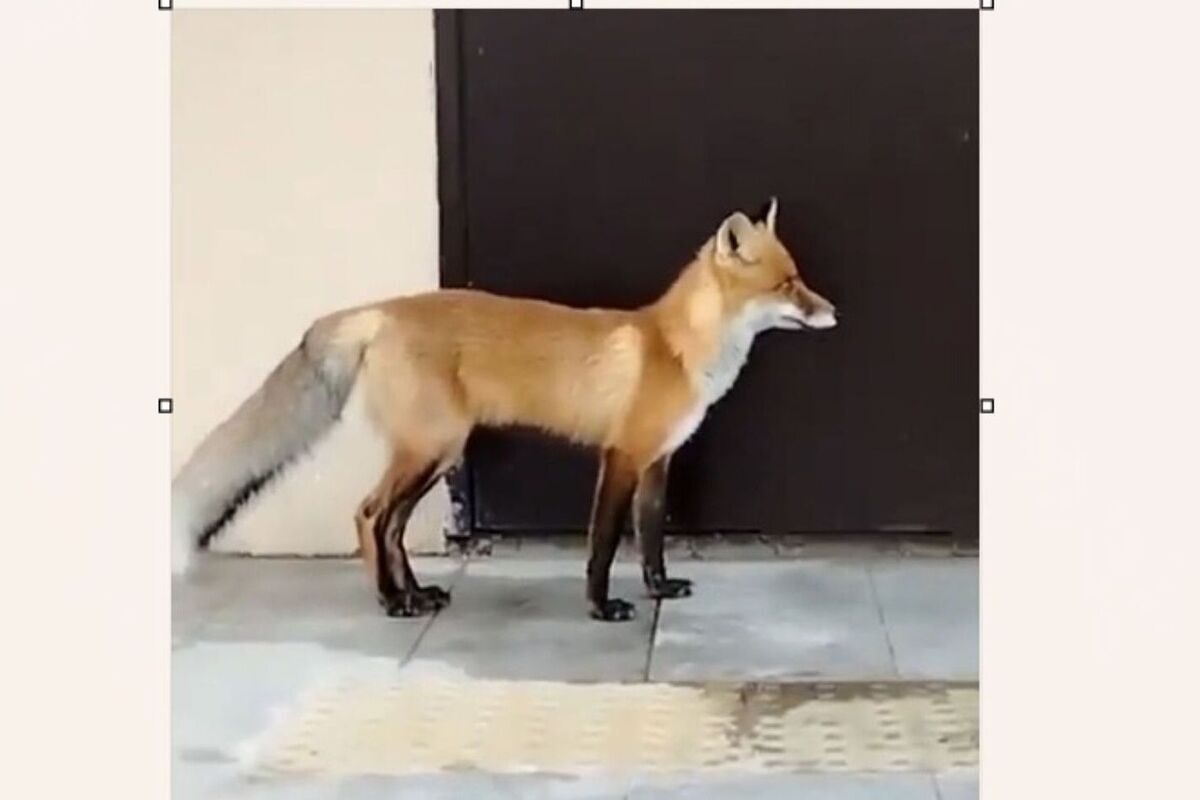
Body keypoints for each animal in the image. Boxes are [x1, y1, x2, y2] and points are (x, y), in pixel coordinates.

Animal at [171, 198, 837, 621]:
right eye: (787, 285)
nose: (833, 311)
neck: (674, 349)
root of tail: (382, 310)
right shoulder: (620, 455)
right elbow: (603, 544)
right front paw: (601, 608)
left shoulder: (657, 461)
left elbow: (650, 538)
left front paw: (658, 588)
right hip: (430, 449)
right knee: (369, 515)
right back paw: (390, 602)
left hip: (440, 454)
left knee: (391, 526)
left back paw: (416, 596)